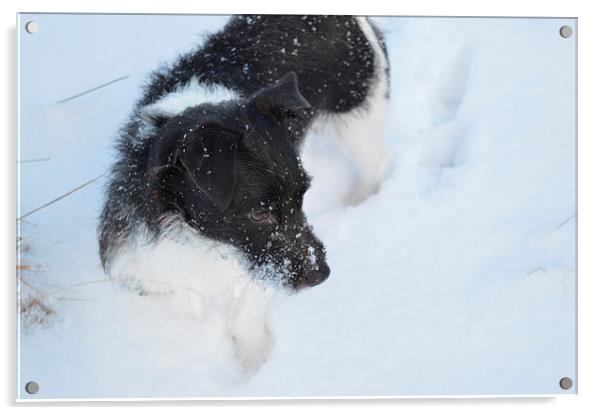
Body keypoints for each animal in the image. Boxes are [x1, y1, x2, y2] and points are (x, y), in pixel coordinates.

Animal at [97, 15, 390, 374]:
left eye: (302, 197)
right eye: (259, 213)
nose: (321, 275)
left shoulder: (258, 264)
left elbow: (246, 310)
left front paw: (254, 363)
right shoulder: (147, 268)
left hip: (357, 116)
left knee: (376, 165)